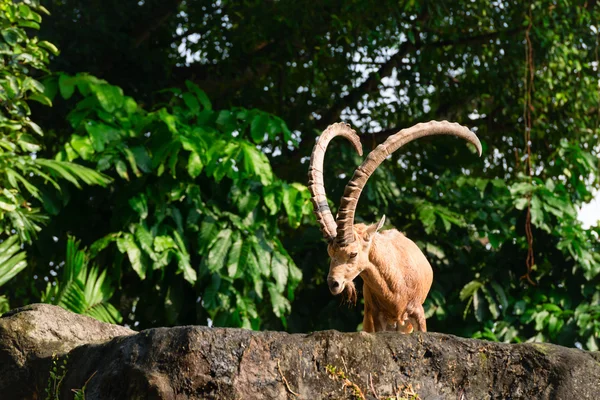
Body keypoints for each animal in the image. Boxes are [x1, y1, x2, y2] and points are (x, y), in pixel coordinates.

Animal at [310, 120, 482, 332]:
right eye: (330, 252)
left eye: (353, 253)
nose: (333, 283)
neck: (395, 289)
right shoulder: (376, 317)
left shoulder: (417, 313)